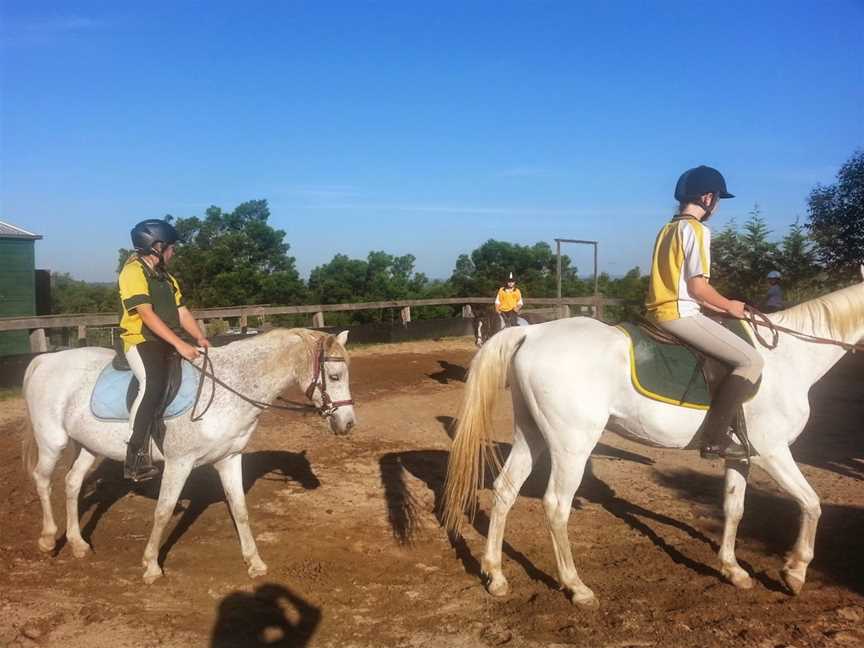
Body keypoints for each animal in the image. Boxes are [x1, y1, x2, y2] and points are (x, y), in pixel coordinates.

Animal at [22, 330, 354, 584]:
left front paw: (254, 562)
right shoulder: (179, 463)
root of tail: (46, 359)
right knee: (43, 480)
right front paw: (151, 566)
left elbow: (240, 509)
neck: (229, 386)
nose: (348, 423)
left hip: (90, 447)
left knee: (72, 483)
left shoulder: (230, 458)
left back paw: (78, 543)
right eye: (334, 376)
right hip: (52, 440)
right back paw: (48, 539)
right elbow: (164, 511)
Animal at [446, 268, 864, 608]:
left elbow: (734, 509)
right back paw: (576, 587)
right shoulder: (772, 452)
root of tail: (532, 332)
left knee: (505, 491)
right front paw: (794, 572)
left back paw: (496, 577)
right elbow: (812, 504)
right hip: (572, 445)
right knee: (556, 505)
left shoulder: (740, 456)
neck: (791, 357)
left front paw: (733, 570)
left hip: (530, 435)